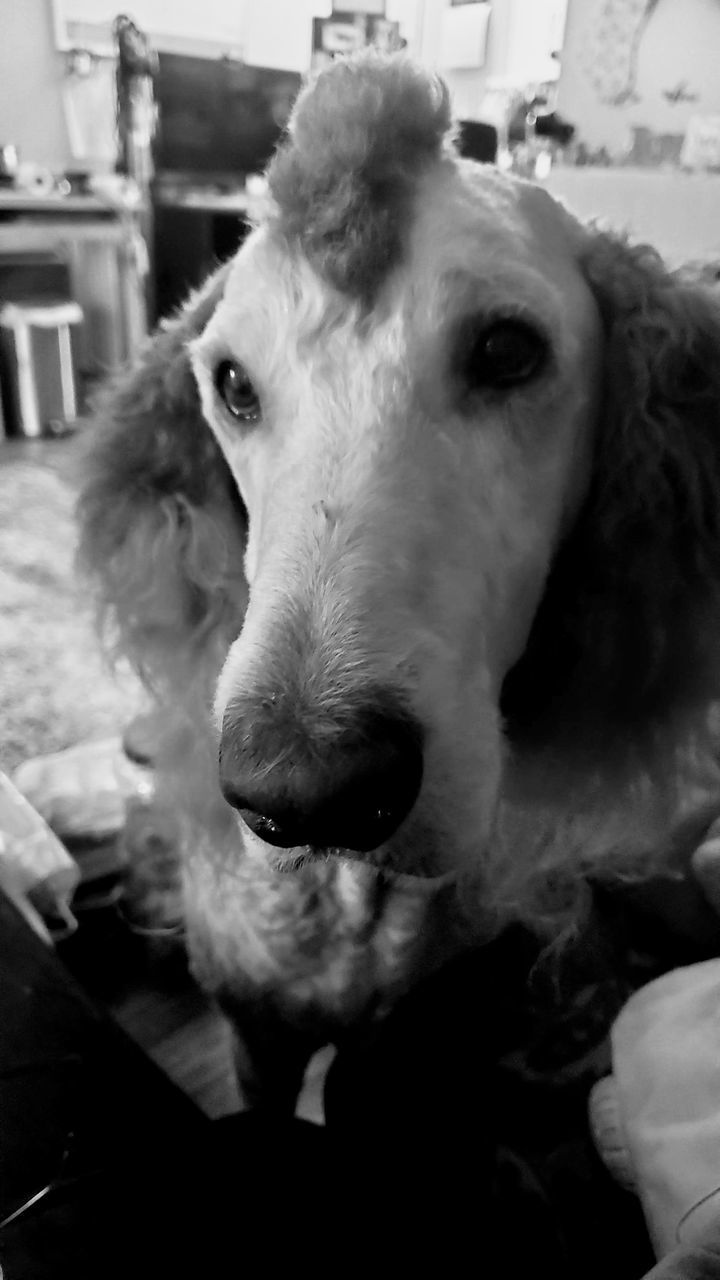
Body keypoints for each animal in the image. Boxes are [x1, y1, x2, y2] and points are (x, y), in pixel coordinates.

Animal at [77, 52, 717, 1111]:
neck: (351, 904)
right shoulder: (254, 1038)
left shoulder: (388, 1056)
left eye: (508, 349)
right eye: (233, 385)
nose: (305, 790)